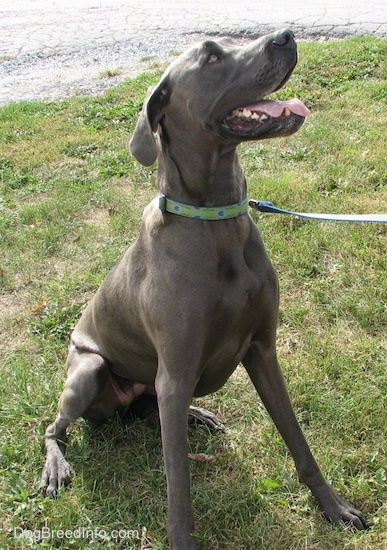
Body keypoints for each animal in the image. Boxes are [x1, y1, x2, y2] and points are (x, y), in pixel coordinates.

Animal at [41, 30, 368, 550]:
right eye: (212, 57)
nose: (287, 35)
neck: (214, 221)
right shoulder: (174, 374)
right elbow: (180, 493)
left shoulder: (262, 349)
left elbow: (299, 442)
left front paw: (334, 507)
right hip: (88, 372)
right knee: (55, 427)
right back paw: (55, 466)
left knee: (151, 411)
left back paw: (198, 414)